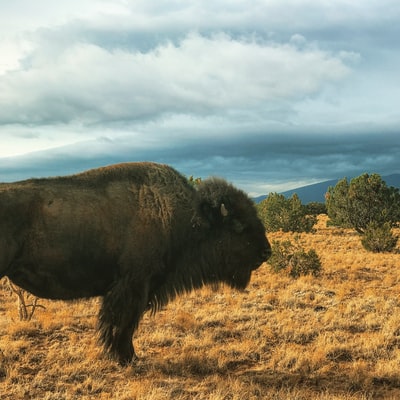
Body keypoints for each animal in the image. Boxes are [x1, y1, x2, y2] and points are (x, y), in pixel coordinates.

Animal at [0, 161, 272, 364]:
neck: (186, 217)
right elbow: (123, 325)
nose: (266, 252)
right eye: (239, 225)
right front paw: (126, 358)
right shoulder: (133, 287)